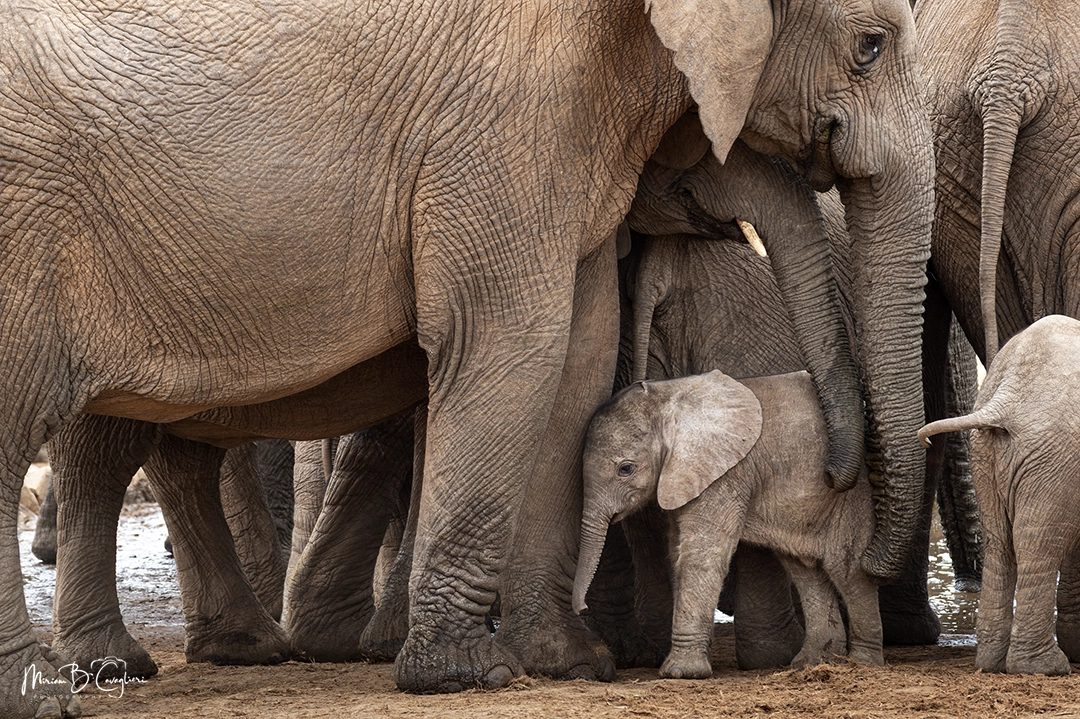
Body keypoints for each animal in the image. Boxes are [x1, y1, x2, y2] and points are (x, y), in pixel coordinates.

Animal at [574, 369, 883, 677]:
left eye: (625, 469)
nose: (582, 609)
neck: (669, 397)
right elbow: (677, 552)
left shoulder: (726, 473)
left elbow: (702, 555)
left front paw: (681, 673)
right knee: (805, 570)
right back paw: (812, 662)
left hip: (853, 495)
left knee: (846, 569)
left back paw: (862, 662)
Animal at [919, 314, 1080, 675]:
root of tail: (1006, 397)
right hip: (1054, 456)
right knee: (1038, 544)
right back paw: (1043, 667)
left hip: (985, 449)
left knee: (1000, 543)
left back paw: (991, 663)